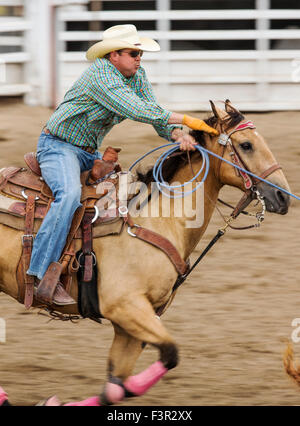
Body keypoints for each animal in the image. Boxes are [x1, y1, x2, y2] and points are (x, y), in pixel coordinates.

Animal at [0, 100, 290, 406]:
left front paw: (54, 402)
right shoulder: (126, 307)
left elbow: (117, 387)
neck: (159, 219)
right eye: (246, 145)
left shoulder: (131, 324)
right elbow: (170, 353)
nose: (283, 196)